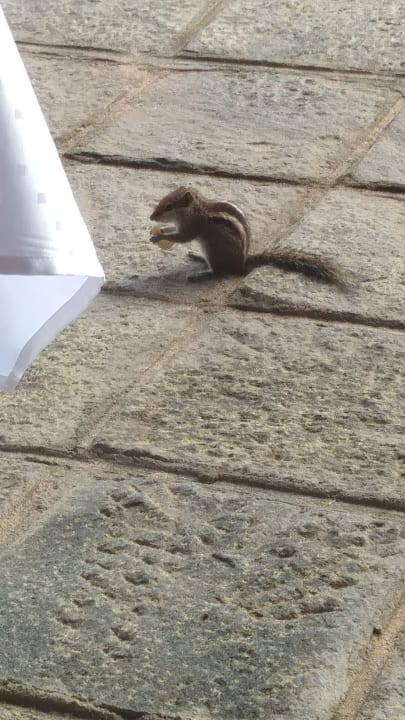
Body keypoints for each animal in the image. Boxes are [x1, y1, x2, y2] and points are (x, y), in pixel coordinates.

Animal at [150, 186, 348, 287]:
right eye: (163, 200)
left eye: (169, 206)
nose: (151, 217)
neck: (195, 209)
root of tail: (242, 263)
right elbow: (173, 231)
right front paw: (162, 231)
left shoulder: (194, 225)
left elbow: (183, 238)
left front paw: (157, 237)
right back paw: (198, 257)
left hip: (214, 251)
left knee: (219, 272)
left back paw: (201, 274)